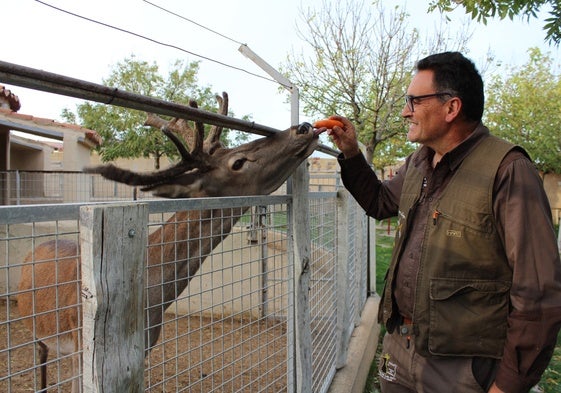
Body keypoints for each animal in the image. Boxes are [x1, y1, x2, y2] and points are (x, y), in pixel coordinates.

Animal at [15, 92, 322, 392]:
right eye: (238, 162)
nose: (303, 128)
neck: (151, 303)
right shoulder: (83, 349)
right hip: (35, 327)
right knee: (40, 357)